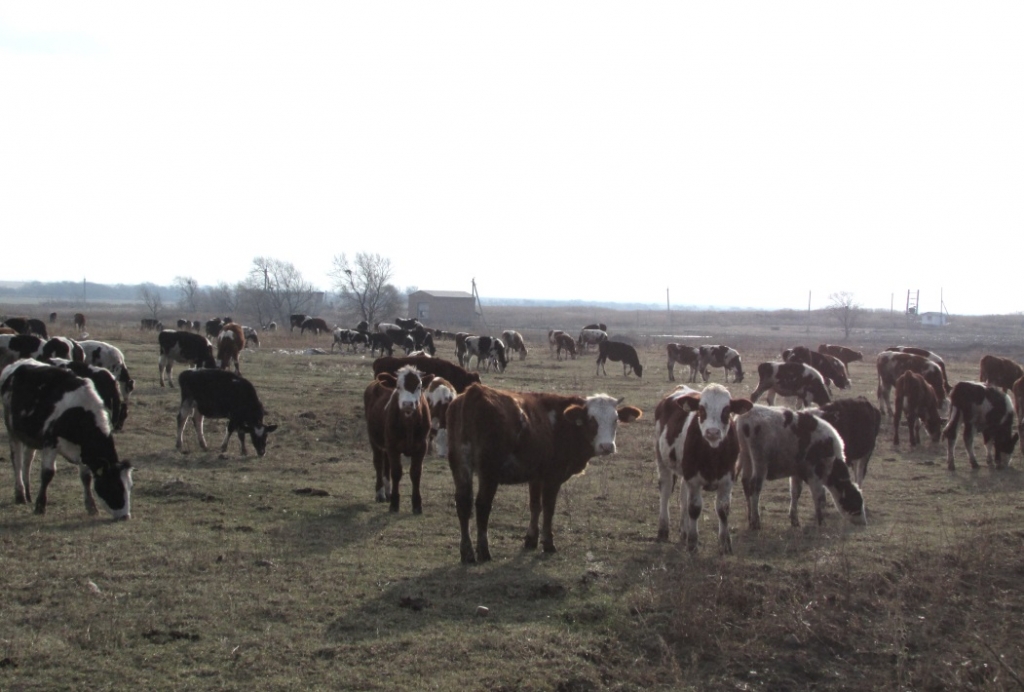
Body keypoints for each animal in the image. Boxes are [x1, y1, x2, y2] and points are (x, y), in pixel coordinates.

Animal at [0, 360, 134, 515]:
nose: (125, 516)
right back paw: (20, 494)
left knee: (28, 461)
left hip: (32, 436)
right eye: (114, 486)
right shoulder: (50, 443)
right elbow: (47, 473)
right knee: (17, 461)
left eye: (129, 487)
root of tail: (17, 364)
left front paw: (91, 506)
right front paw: (40, 506)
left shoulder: (83, 451)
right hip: (12, 431)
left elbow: (86, 477)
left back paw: (28, 494)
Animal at [362, 368, 430, 513]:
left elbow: (416, 473)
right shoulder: (393, 446)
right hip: (374, 440)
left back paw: (388, 492)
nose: (408, 404)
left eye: (419, 386)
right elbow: (397, 472)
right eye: (398, 387)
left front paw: (417, 505)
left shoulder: (422, 446)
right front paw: (394, 503)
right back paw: (381, 493)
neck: (409, 424)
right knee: (379, 464)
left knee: (387, 464)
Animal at [446, 380, 638, 565]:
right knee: (482, 506)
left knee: (463, 504)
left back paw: (467, 553)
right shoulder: (553, 477)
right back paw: (484, 552)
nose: (607, 446)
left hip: (460, 466)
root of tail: (474, 392)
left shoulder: (536, 476)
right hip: (489, 472)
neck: (564, 424)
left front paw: (531, 540)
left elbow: (535, 506)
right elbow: (548, 508)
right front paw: (548, 543)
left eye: (616, 419)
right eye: (592, 420)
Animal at [655, 380, 753, 552]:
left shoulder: (728, 479)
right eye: (701, 409)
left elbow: (723, 509)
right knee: (665, 491)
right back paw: (664, 529)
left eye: (726, 410)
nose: (712, 432)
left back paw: (684, 531)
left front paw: (725, 543)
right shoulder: (693, 479)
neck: (712, 455)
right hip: (662, 459)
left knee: (683, 496)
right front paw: (693, 543)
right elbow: (694, 508)